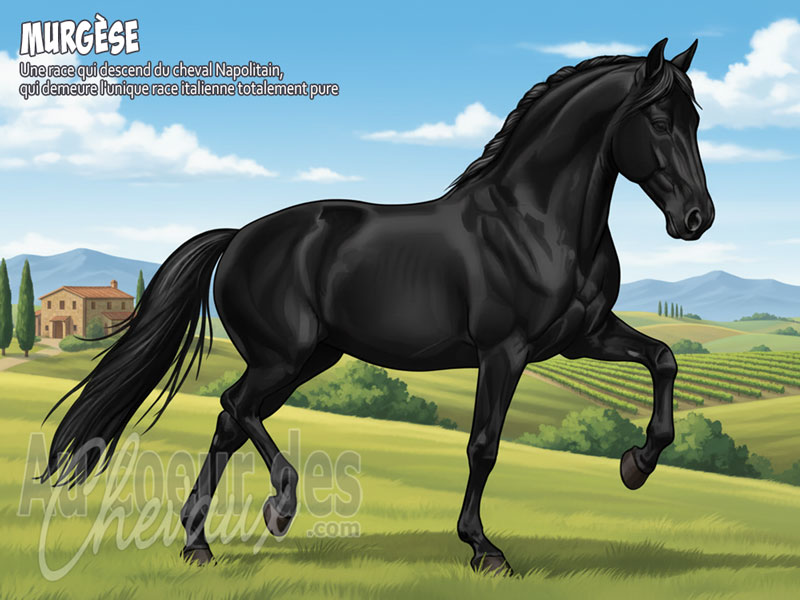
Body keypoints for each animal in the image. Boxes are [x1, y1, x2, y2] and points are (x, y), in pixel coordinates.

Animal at [40, 38, 714, 575]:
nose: (697, 219)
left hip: (309, 359)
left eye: (696, 121)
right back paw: (279, 505)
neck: (536, 223)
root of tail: (238, 237)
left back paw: (198, 543)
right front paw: (483, 549)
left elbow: (664, 358)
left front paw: (636, 465)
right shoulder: (504, 351)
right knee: (236, 406)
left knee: (231, 421)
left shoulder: (583, 336)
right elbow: (484, 444)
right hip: (283, 357)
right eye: (659, 119)